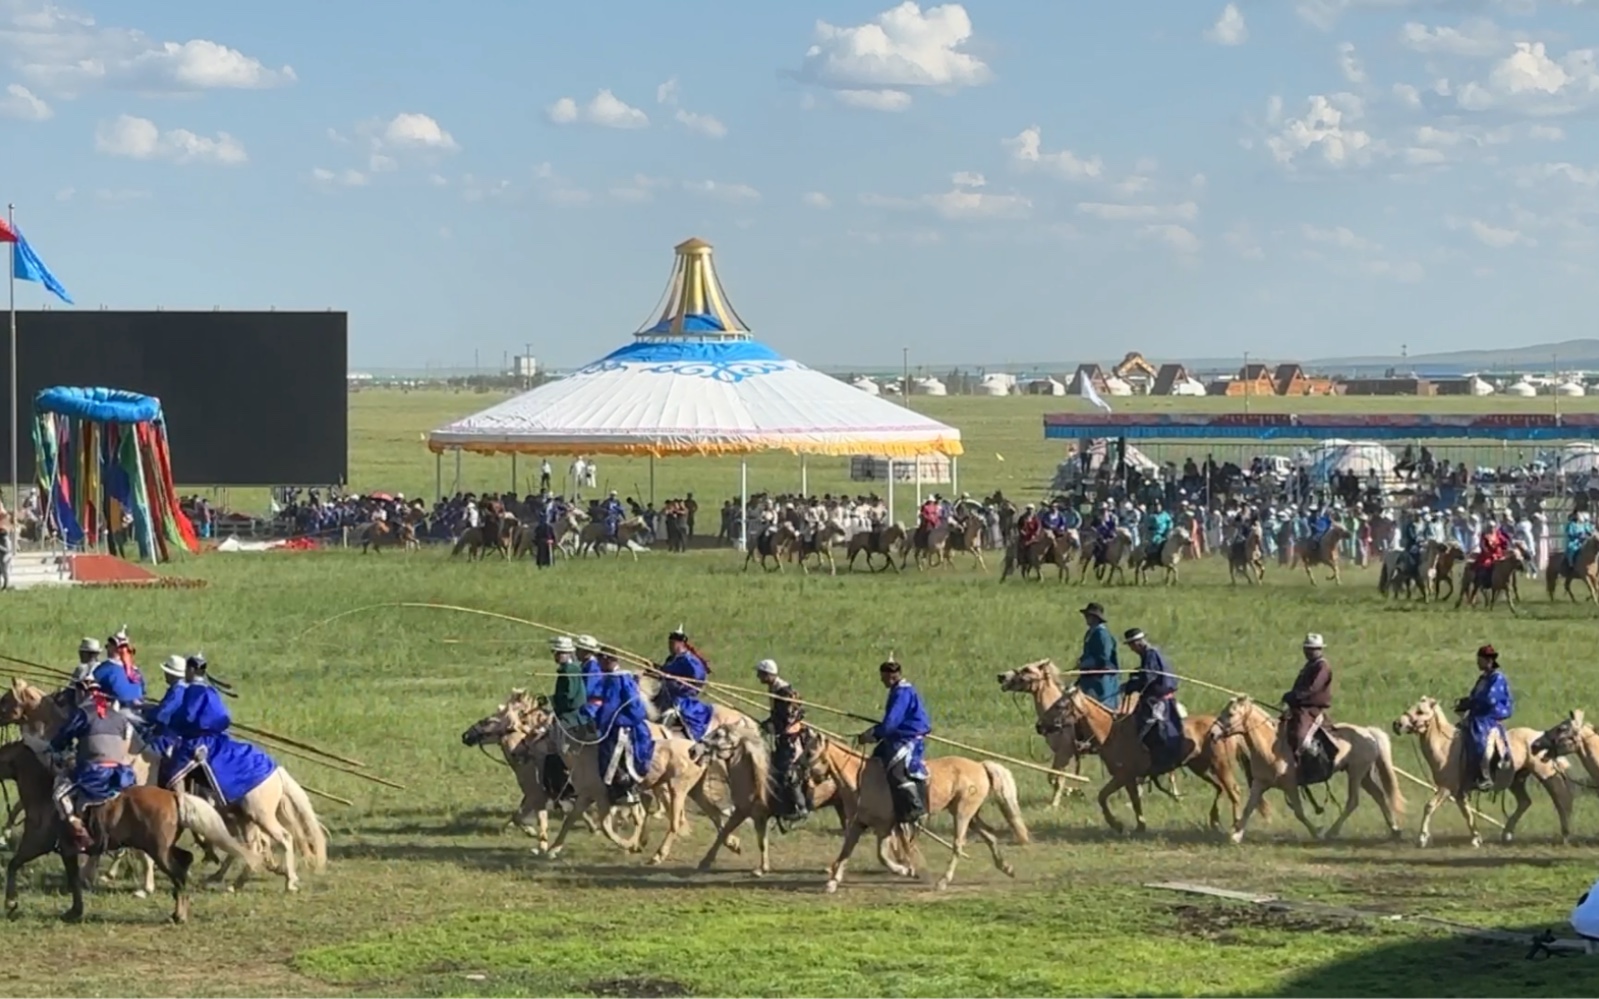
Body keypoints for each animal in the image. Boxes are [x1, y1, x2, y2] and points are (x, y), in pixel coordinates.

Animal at [0, 741, 255, 920]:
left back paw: (179, 914)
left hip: (159, 851)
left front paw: (11, 902)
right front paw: (74, 911)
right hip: (164, 848)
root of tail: (173, 796)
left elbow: (14, 865)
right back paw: (177, 910)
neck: (44, 798)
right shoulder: (67, 852)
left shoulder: (39, 845)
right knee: (185, 862)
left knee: (178, 874)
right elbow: (73, 880)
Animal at [812, 735, 1023, 895]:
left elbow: (882, 855)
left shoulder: (885, 825)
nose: (809, 782)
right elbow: (846, 851)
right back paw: (1007, 868)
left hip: (963, 813)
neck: (862, 779)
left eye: (810, 753)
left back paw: (943, 881)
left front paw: (906, 870)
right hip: (970, 815)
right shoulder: (859, 823)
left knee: (958, 845)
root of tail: (980, 765)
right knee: (990, 836)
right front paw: (832, 882)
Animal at [1048, 684, 1247, 831]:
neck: (1112, 732)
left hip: (1221, 765)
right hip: (1200, 767)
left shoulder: (1123, 776)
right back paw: (1215, 820)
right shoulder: (1127, 779)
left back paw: (1235, 826)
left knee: (1234, 791)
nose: (1042, 725)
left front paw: (1117, 824)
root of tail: (1225, 729)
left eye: (1060, 705)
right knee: (1220, 788)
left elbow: (1104, 796)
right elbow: (1131, 800)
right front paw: (1138, 826)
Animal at [1208, 693, 1400, 843]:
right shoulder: (1260, 784)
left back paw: (1332, 832)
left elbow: (1299, 813)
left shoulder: (1290, 786)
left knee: (1353, 801)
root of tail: (1368, 732)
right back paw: (1395, 829)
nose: (1212, 734)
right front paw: (1236, 836)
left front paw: (1317, 833)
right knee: (1379, 796)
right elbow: (1249, 807)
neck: (1271, 746)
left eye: (1231, 713)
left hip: (1356, 773)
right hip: (1363, 775)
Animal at [1400, 693, 1573, 850]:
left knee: (1560, 801)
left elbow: (1429, 806)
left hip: (1546, 774)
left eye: (1420, 711)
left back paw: (1565, 835)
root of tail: (1539, 736)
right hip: (1516, 780)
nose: (1397, 724)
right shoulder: (1458, 792)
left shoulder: (1446, 788)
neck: (1445, 747)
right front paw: (1476, 839)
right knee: (1525, 802)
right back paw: (1507, 834)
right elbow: (1467, 813)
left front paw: (1422, 838)